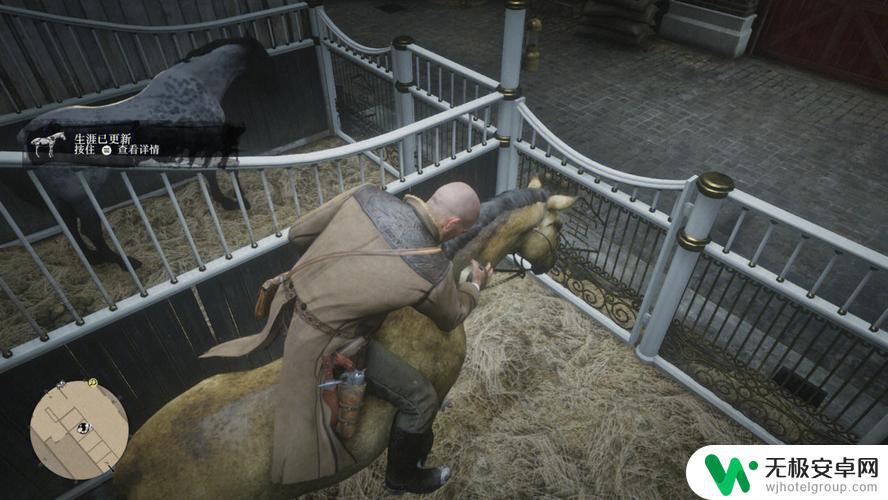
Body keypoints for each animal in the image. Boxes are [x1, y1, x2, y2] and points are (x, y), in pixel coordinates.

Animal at [111, 178, 576, 498]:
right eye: (557, 225)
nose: (550, 263)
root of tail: (129, 470)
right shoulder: (430, 382)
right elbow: (420, 435)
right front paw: (419, 475)